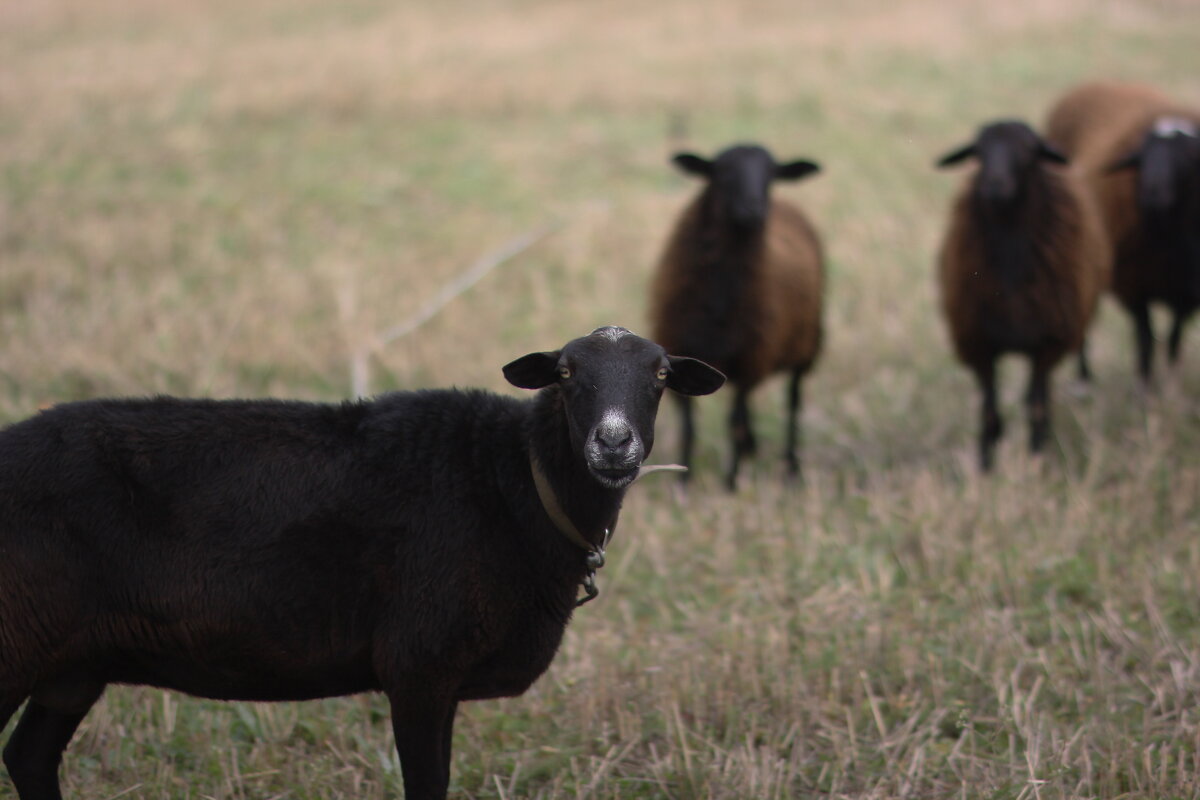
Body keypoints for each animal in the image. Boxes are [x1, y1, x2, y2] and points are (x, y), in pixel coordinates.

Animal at [648, 146, 825, 491]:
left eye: (772, 175)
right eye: (722, 172)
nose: (753, 209)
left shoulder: (749, 360)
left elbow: (734, 423)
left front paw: (730, 483)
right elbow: (689, 424)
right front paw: (684, 482)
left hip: (804, 347)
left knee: (792, 403)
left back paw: (790, 468)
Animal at [931, 118, 1108, 470]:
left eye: (1028, 151)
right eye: (979, 151)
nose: (994, 185)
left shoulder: (1046, 344)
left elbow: (1036, 409)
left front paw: (1038, 460)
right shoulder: (980, 345)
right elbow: (990, 413)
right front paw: (985, 465)